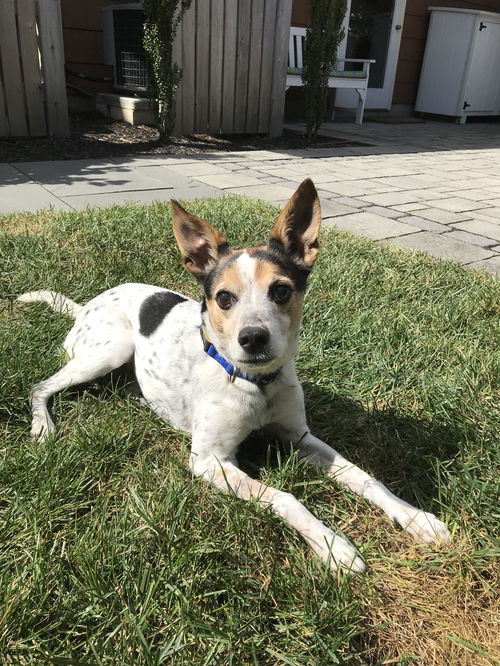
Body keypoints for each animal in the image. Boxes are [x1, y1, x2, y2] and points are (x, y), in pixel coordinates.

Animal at [17, 178, 452, 572]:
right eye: (223, 298)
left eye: (281, 291)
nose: (253, 338)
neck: (256, 383)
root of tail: (85, 306)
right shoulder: (210, 460)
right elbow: (285, 497)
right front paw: (333, 545)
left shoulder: (300, 437)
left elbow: (364, 477)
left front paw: (415, 517)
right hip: (111, 349)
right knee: (40, 386)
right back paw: (43, 426)